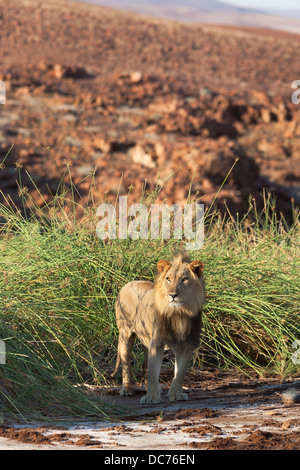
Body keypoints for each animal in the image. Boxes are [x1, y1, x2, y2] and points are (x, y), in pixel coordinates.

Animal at [110, 253, 206, 404]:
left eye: (184, 279)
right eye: (168, 279)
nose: (172, 295)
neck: (179, 314)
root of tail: (127, 284)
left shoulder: (186, 345)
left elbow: (179, 373)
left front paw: (176, 394)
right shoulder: (157, 342)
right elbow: (153, 371)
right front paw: (151, 397)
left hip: (145, 339)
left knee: (145, 365)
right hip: (125, 334)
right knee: (126, 363)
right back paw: (127, 389)